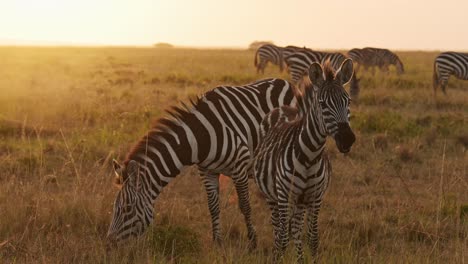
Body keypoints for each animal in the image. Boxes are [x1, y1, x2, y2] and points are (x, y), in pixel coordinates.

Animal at [107, 78, 296, 250]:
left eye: (127, 208)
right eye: (115, 208)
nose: (109, 244)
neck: (199, 138)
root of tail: (287, 83)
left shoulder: (239, 167)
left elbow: (245, 206)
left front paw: (253, 242)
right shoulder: (207, 171)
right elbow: (213, 207)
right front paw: (218, 243)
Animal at [252, 59, 354, 264]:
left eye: (348, 101)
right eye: (322, 104)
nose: (347, 139)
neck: (310, 157)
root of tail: (283, 107)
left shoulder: (316, 197)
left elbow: (312, 238)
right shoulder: (284, 196)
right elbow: (283, 239)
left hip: (299, 201)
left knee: (296, 229)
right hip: (273, 196)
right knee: (278, 230)